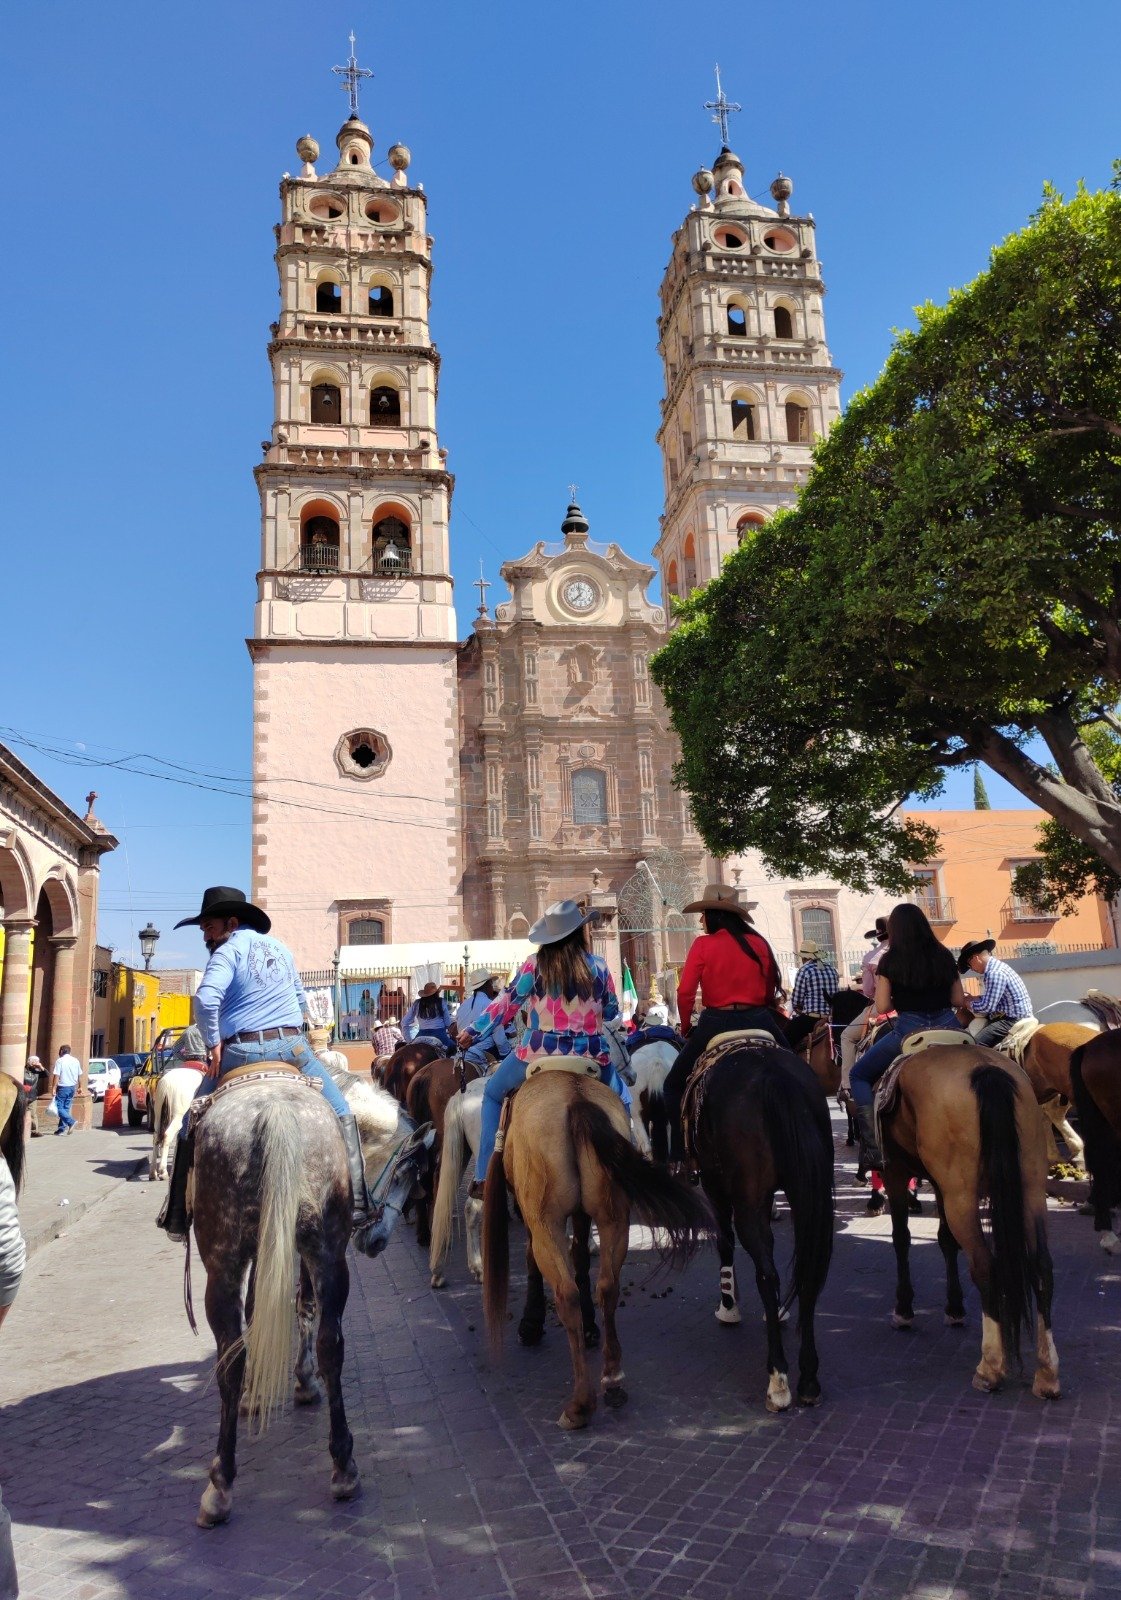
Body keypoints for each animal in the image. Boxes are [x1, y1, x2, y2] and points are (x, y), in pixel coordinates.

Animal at [190, 1062, 422, 1523]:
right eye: (405, 1174)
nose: (378, 1241)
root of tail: (275, 1111)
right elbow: (301, 1306)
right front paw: (300, 1379)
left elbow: (262, 1309)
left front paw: (261, 1391)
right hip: (326, 1249)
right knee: (331, 1342)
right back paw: (344, 1466)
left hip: (224, 1261)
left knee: (231, 1354)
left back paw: (220, 1483)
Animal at [479, 1068, 706, 1433]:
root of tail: (576, 1099)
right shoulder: (585, 1215)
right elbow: (582, 1257)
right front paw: (589, 1327)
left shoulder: (534, 1218)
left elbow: (534, 1260)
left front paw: (531, 1324)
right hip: (614, 1218)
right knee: (608, 1287)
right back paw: (613, 1378)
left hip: (547, 1223)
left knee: (566, 1293)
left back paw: (580, 1405)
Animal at [687, 1043, 837, 1408]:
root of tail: (774, 1075)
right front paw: (778, 1313)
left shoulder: (715, 1186)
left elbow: (725, 1241)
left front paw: (728, 1305)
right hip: (807, 1196)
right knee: (808, 1274)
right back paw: (808, 1379)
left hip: (745, 1201)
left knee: (767, 1274)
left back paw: (778, 1379)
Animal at [876, 1036, 1055, 1401]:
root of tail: (985, 1070)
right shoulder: (938, 1183)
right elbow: (945, 1241)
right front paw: (954, 1307)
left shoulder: (896, 1173)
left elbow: (902, 1239)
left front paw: (904, 1309)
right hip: (1030, 1188)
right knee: (1041, 1266)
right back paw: (1047, 1373)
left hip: (961, 1195)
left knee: (984, 1265)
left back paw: (990, 1367)